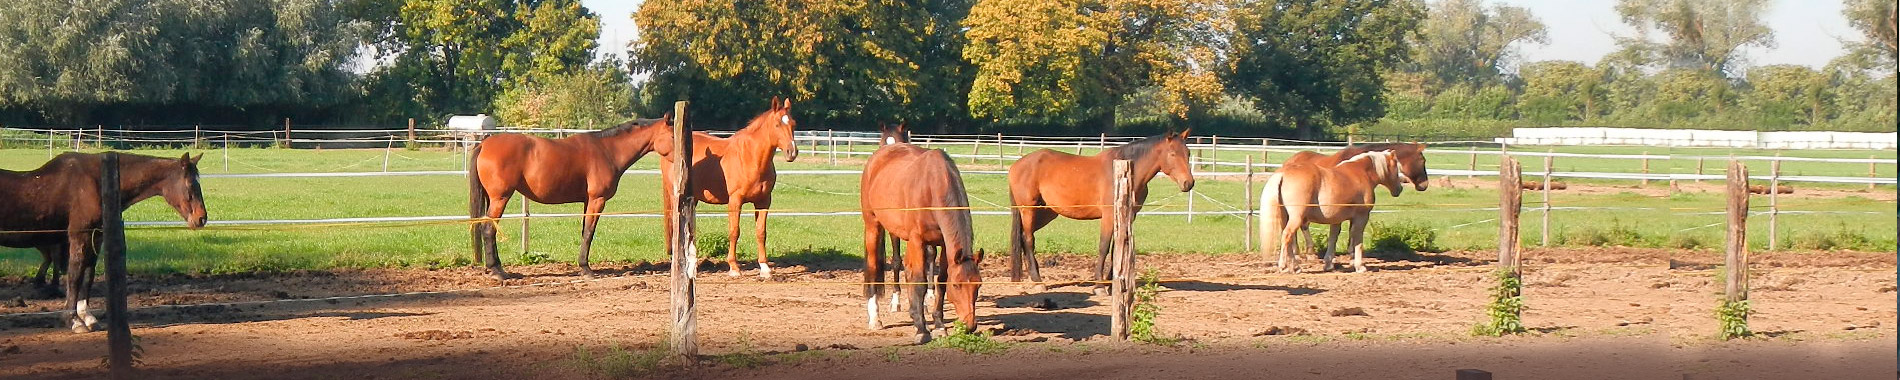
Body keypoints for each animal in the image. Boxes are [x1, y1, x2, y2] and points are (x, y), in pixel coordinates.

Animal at [0, 151, 206, 332]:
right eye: (190, 185)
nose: (201, 218)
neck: (96, 182)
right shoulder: (79, 236)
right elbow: (75, 276)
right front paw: (73, 320)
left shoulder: (96, 236)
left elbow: (88, 275)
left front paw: (87, 317)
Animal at [467, 115, 676, 279]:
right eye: (673, 135)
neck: (607, 150)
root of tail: (484, 144)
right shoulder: (597, 200)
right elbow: (589, 233)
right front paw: (586, 269)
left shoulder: (587, 201)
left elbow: (584, 231)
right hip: (500, 198)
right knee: (488, 229)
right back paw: (497, 271)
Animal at [665, 96, 798, 277]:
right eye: (777, 124)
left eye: (793, 124)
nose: (792, 152)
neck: (751, 158)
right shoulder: (735, 201)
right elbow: (734, 231)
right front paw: (734, 267)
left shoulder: (764, 201)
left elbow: (761, 232)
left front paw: (764, 267)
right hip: (676, 197)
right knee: (675, 227)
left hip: (693, 199)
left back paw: (692, 266)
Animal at [862, 125, 980, 343]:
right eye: (957, 285)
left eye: (978, 285)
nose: (970, 325)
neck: (933, 187)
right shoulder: (917, 240)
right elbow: (918, 281)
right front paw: (921, 329)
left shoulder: (944, 244)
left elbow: (940, 281)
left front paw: (939, 325)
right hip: (873, 225)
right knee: (874, 266)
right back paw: (875, 319)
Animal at [1003, 129, 1193, 288]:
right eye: (1172, 153)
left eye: (1188, 153)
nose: (1188, 183)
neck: (1123, 175)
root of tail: (1016, 165)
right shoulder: (1108, 216)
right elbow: (1104, 246)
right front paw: (1100, 285)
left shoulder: (1128, 216)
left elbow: (1117, 247)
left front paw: (1113, 281)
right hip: (1028, 210)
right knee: (1028, 239)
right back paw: (1037, 281)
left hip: (1045, 213)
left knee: (1023, 237)